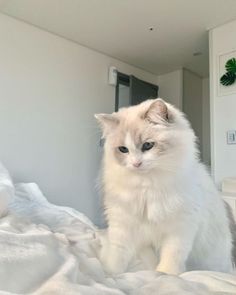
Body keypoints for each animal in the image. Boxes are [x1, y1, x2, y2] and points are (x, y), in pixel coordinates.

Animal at [94, 99, 234, 276]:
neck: (147, 186)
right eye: (123, 149)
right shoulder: (126, 226)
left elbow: (170, 259)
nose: (136, 164)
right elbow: (117, 256)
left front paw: (165, 275)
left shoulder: (179, 230)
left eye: (147, 145)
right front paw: (108, 274)